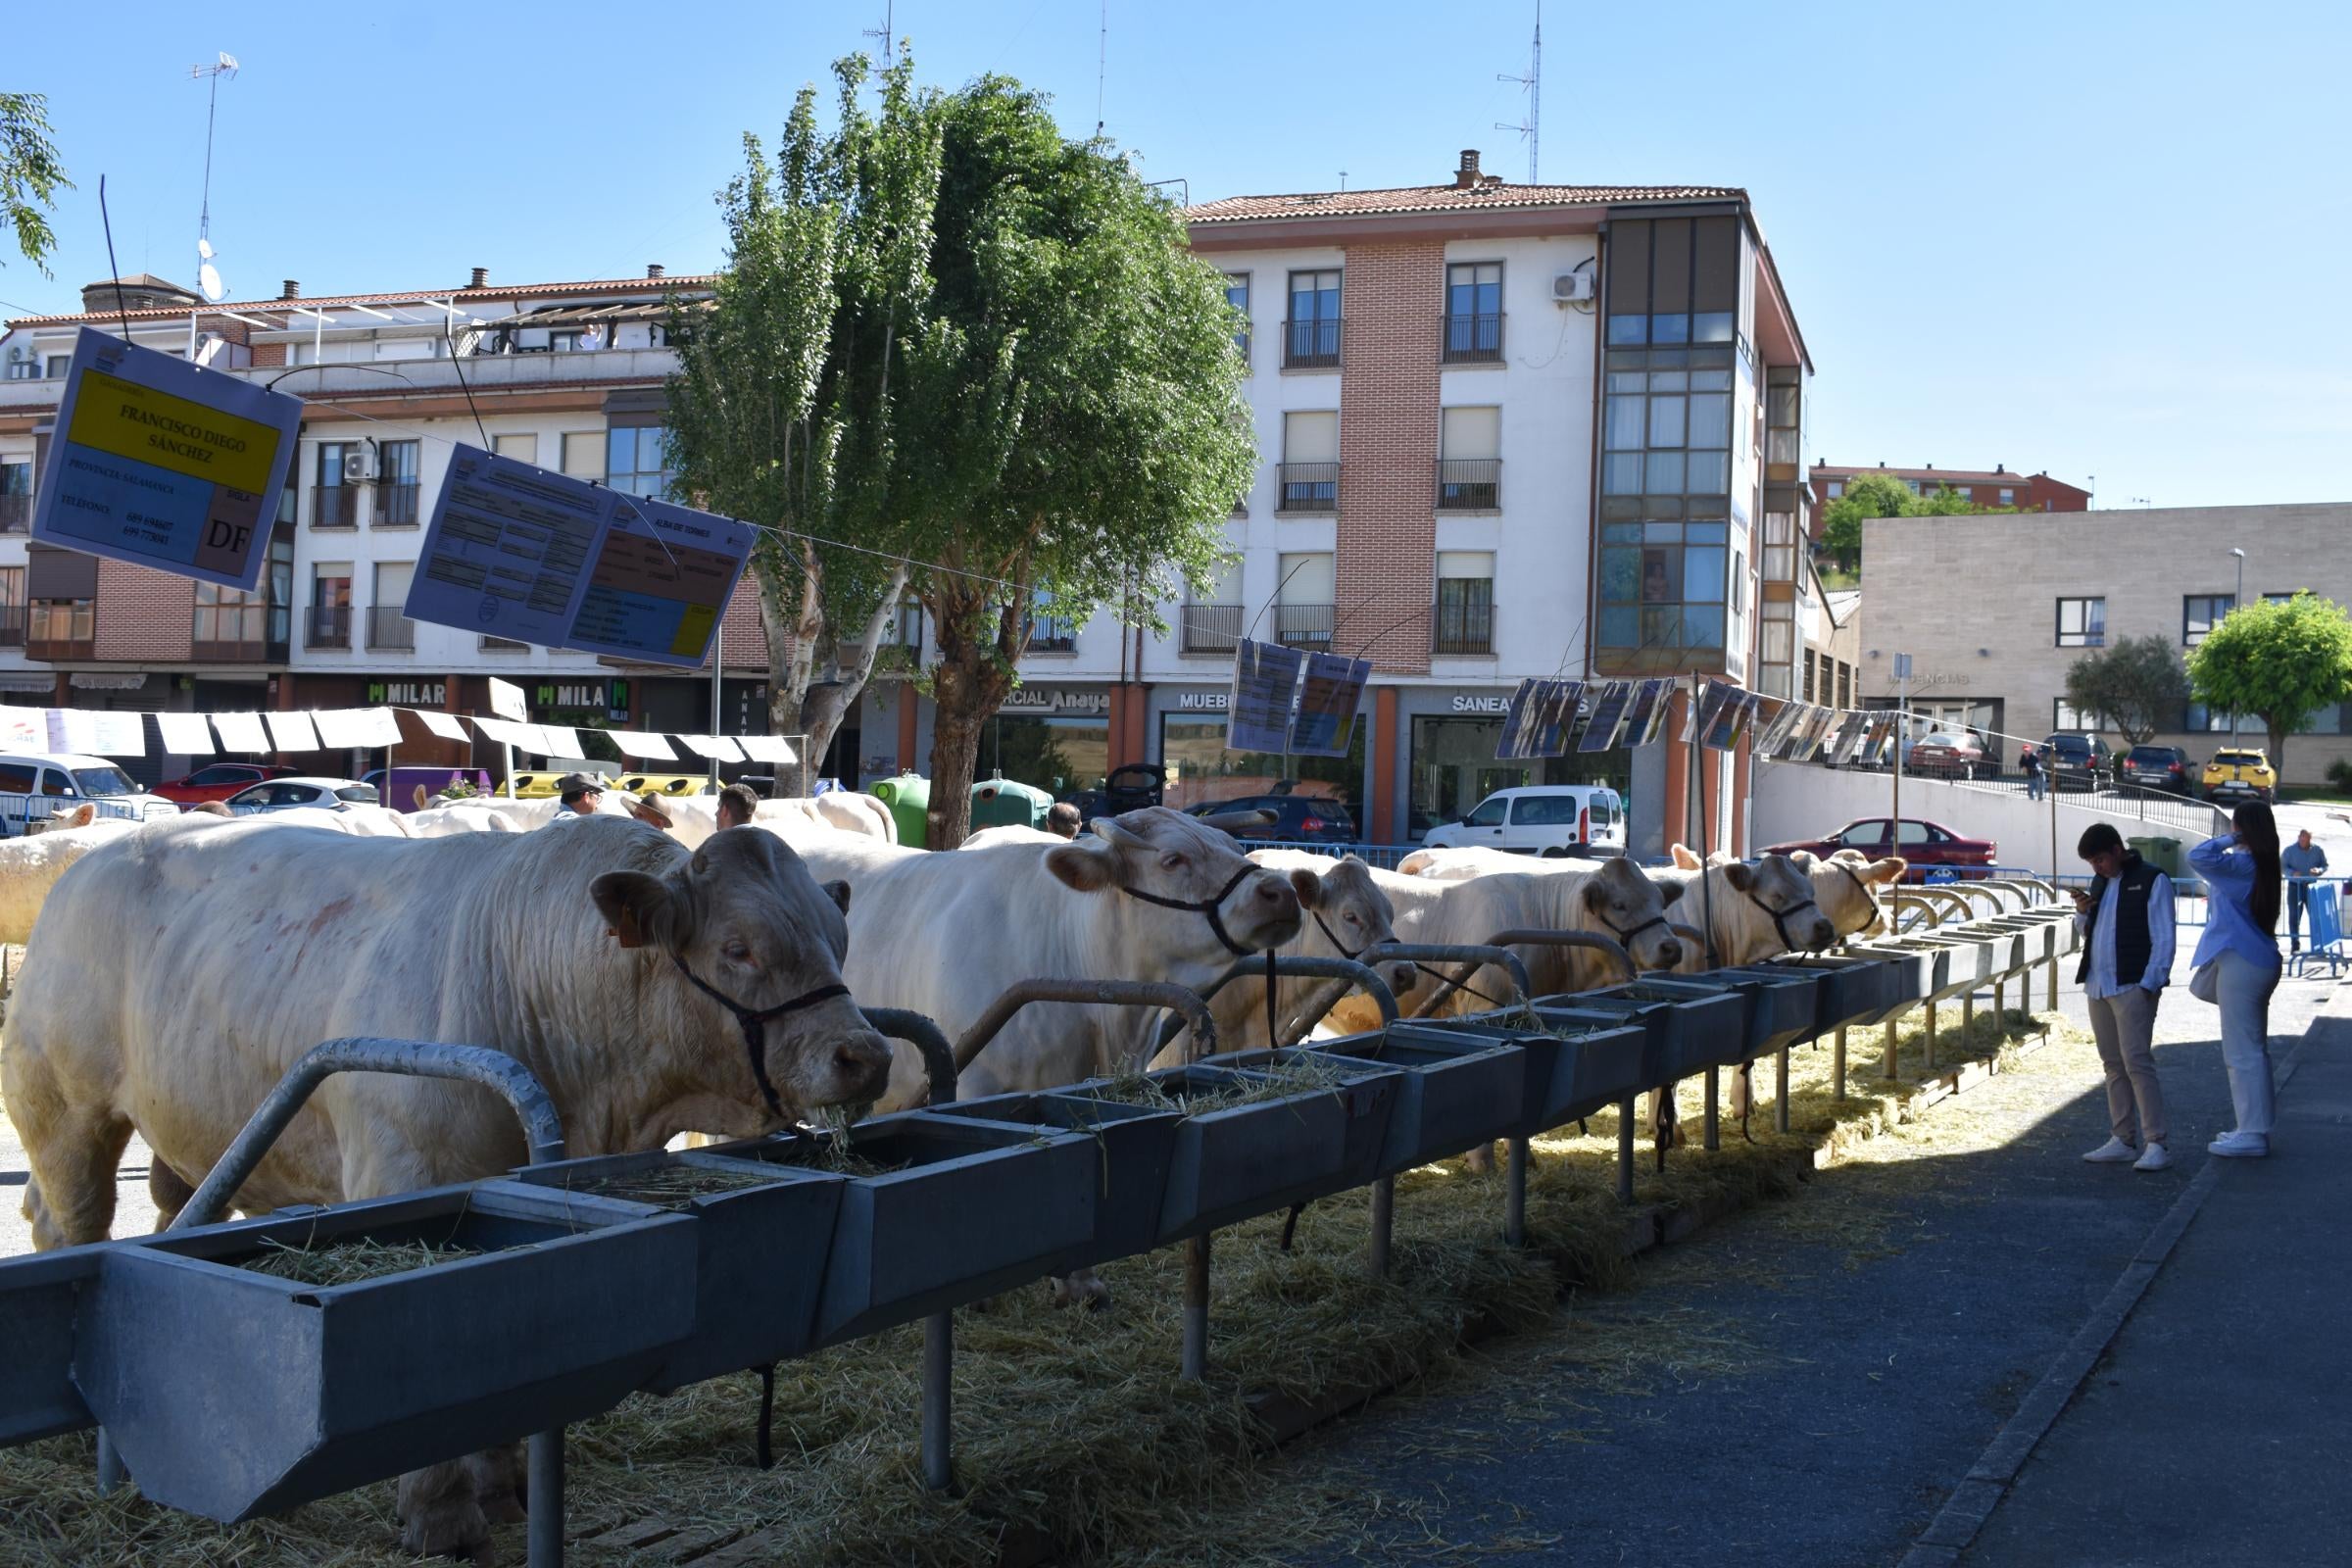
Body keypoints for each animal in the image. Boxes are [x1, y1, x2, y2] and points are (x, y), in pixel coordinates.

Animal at [4, 817, 884, 1551]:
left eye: (841, 938)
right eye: (737, 948)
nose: (866, 1054)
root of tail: (97, 856)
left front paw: (503, 1489)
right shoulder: (404, 1178)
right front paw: (441, 1517)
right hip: (64, 1111)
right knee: (70, 1228)